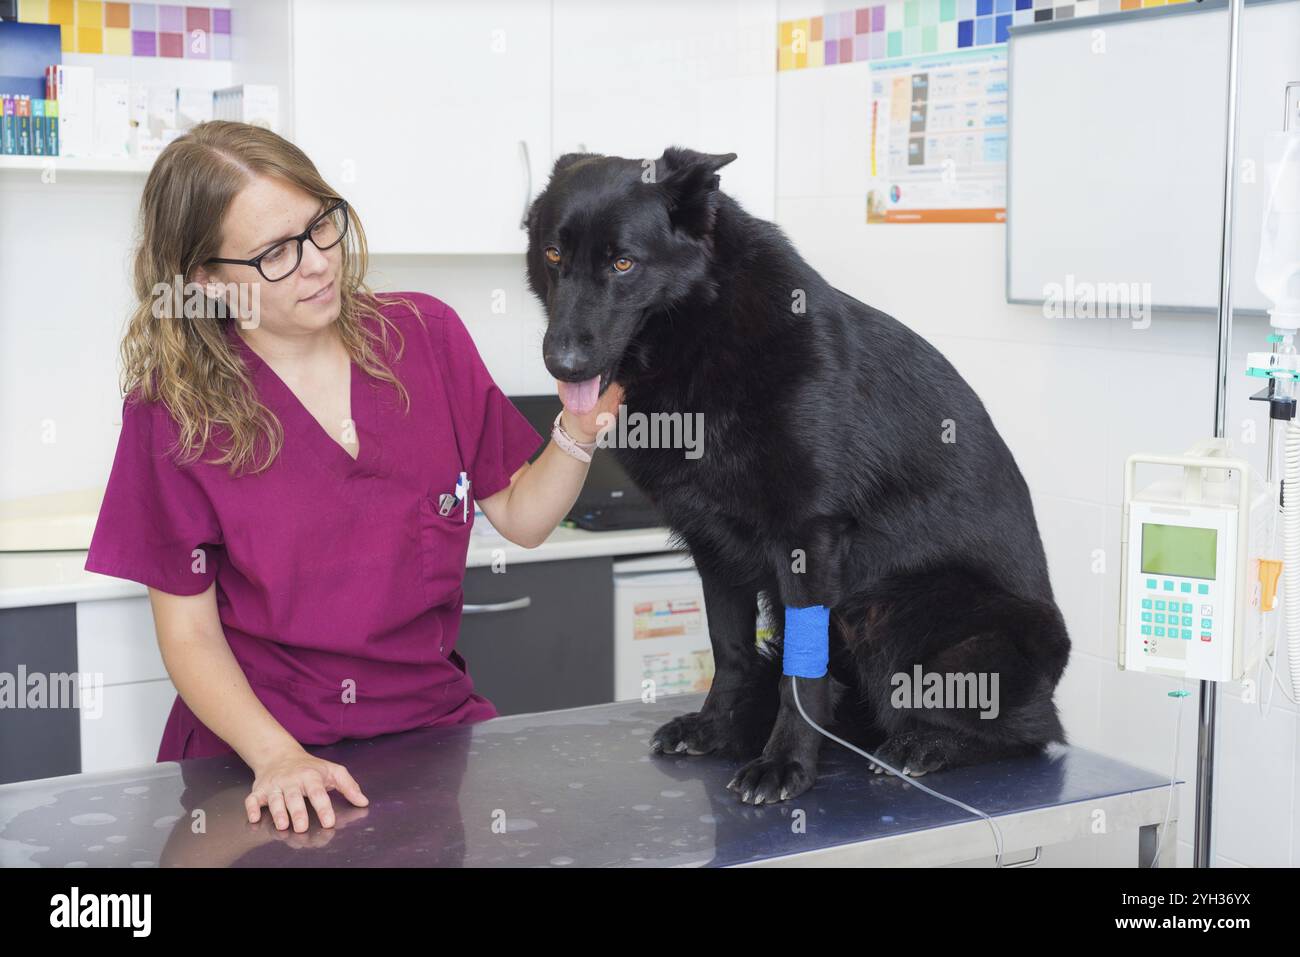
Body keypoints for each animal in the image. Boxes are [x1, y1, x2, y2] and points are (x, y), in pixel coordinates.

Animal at [522, 145, 1071, 806]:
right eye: (555, 254)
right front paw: (715, 727)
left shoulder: (807, 537)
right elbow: (729, 649)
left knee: (1031, 733)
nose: (561, 364)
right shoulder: (713, 547)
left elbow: (801, 679)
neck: (703, 340)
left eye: (623, 263)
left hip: (900, 616)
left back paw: (923, 745)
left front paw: (785, 763)